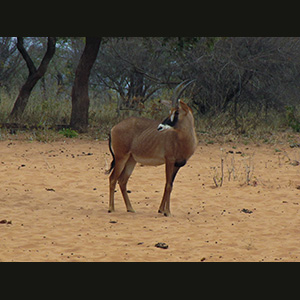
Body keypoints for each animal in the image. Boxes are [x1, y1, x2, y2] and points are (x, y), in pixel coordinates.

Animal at [105, 79, 197, 216]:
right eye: (170, 111)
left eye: (177, 112)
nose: (160, 127)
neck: (181, 139)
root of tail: (113, 128)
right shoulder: (169, 161)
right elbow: (168, 185)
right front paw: (167, 212)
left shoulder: (178, 165)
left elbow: (169, 185)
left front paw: (162, 210)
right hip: (121, 158)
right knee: (112, 179)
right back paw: (111, 208)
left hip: (131, 160)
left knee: (122, 181)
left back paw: (130, 208)